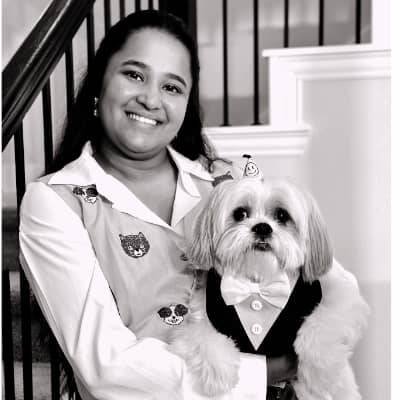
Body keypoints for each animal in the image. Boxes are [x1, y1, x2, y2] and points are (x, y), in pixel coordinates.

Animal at [170, 177, 369, 399]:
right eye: (240, 213)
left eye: (282, 215)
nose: (263, 227)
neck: (259, 283)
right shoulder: (198, 317)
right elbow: (199, 335)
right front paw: (218, 372)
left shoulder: (340, 296)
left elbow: (324, 321)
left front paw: (321, 372)